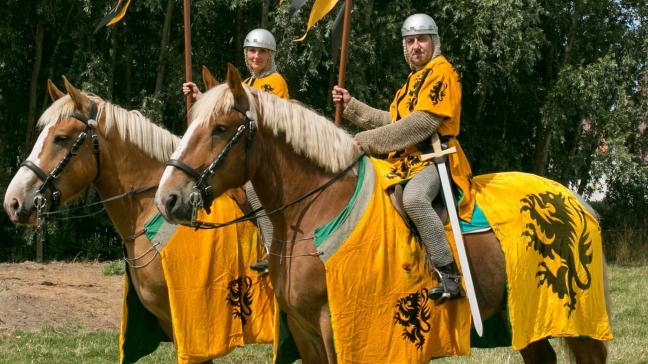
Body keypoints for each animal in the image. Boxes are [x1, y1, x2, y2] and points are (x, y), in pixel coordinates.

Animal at [154, 64, 612, 362]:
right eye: (191, 123)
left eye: (219, 129)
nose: (168, 199)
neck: (315, 209)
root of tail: (575, 200)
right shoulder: (304, 331)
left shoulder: (336, 328)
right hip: (527, 316)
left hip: (574, 317)